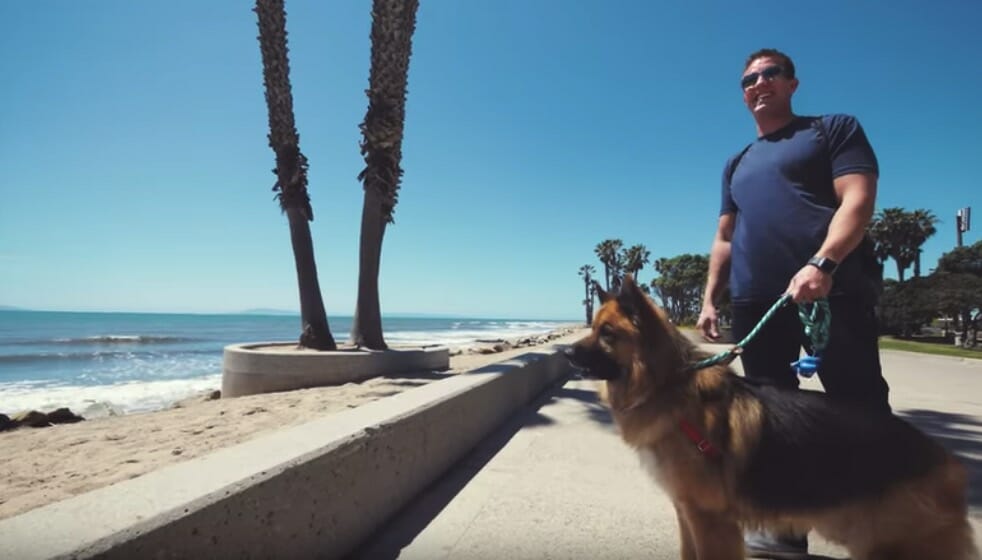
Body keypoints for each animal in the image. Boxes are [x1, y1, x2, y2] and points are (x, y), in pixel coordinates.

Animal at [564, 276, 980, 560]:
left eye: (607, 333)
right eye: (593, 328)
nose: (566, 354)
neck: (666, 385)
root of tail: (946, 459)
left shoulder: (709, 519)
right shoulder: (686, 511)